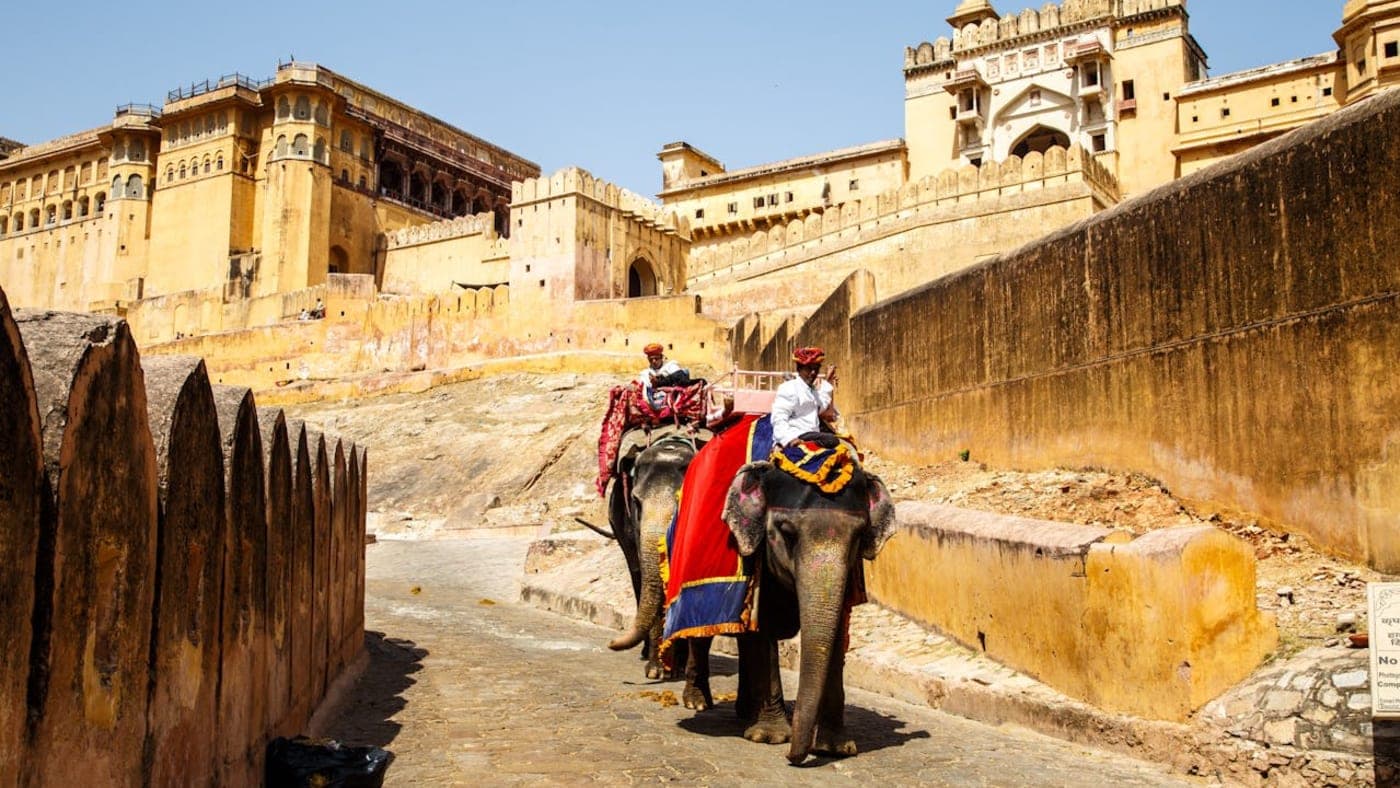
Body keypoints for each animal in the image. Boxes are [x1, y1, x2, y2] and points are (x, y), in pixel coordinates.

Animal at [721, 458, 896, 764]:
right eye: (787, 533)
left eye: (858, 535)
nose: (791, 757)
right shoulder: (759, 559)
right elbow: (763, 628)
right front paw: (769, 737)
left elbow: (837, 632)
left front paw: (834, 748)